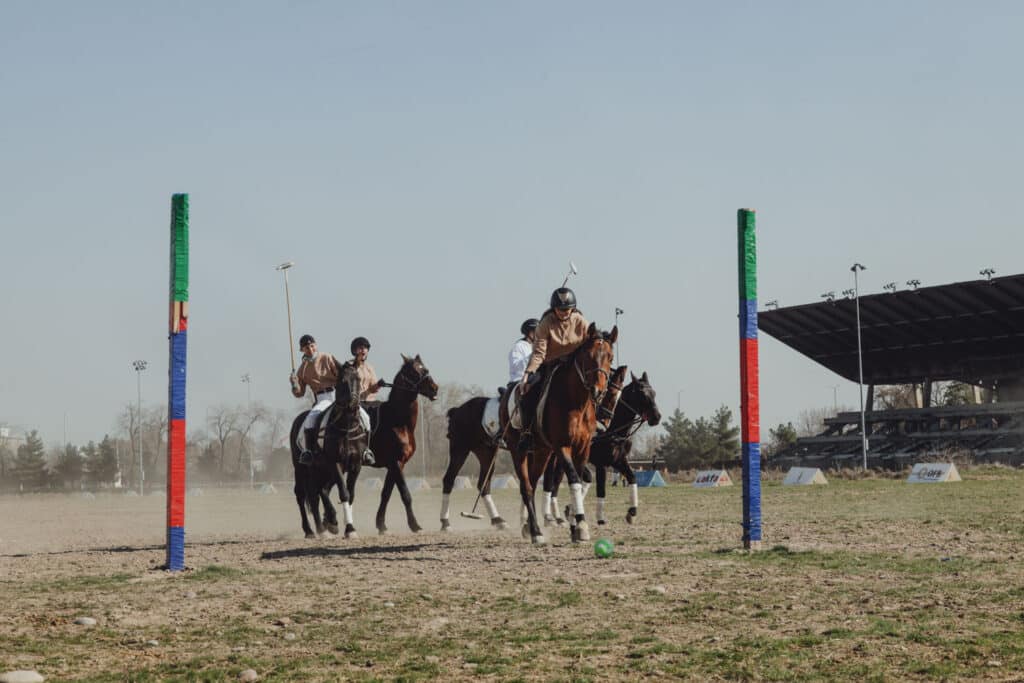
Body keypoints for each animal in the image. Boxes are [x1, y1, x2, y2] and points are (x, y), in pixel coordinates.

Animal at [290, 360, 366, 540]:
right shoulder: (335, 462)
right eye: (342, 381)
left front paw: (343, 526)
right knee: (303, 494)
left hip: (320, 470)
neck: (346, 427)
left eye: (358, 379)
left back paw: (323, 526)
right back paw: (311, 530)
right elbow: (344, 493)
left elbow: (349, 494)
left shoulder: (356, 464)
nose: (353, 405)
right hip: (302, 468)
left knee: (317, 493)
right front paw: (348, 528)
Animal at [346, 356, 438, 536]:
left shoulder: (397, 464)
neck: (398, 422)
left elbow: (386, 494)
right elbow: (405, 494)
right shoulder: (395, 463)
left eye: (425, 369)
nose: (434, 388)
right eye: (413, 372)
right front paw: (415, 525)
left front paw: (381, 525)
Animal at [505, 325, 614, 544]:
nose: (598, 391)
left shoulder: (582, 449)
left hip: (542, 452)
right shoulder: (562, 447)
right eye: (588, 356)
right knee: (526, 487)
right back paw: (536, 532)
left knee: (532, 482)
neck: (576, 403)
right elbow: (573, 479)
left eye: (610, 357)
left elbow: (577, 481)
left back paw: (529, 527)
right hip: (519, 451)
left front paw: (574, 527)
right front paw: (581, 525)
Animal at [544, 374, 663, 528]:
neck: (614, 432)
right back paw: (554, 517)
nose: (657, 417)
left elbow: (632, 477)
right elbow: (601, 490)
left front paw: (632, 512)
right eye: (642, 394)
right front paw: (600, 518)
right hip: (558, 461)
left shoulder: (619, 461)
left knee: (584, 478)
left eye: (653, 393)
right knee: (553, 484)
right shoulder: (601, 464)